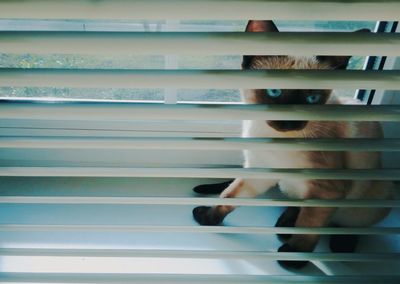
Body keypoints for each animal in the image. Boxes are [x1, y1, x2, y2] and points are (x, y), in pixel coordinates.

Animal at [191, 20, 394, 268]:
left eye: (312, 99)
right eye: (275, 91)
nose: (290, 120)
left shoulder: (327, 191)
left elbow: (309, 227)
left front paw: (294, 258)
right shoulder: (260, 171)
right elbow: (229, 197)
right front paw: (209, 218)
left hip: (372, 196)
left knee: (347, 223)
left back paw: (338, 243)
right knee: (297, 205)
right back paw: (285, 224)